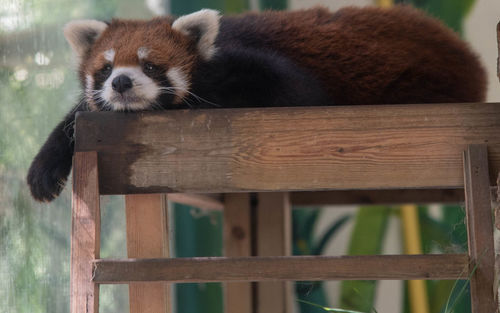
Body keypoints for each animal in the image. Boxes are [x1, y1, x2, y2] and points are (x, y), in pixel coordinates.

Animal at [26, 6, 484, 201]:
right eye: (105, 69)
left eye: (151, 66)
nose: (121, 82)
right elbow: (78, 114)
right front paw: (45, 169)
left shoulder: (257, 67)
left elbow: (300, 93)